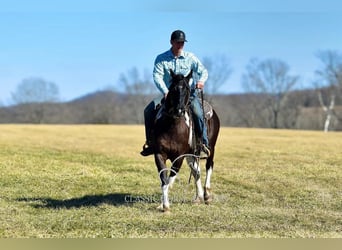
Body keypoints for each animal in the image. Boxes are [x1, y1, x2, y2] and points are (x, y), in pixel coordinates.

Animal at [152, 69, 220, 212]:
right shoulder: (159, 154)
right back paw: (198, 197)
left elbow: (170, 178)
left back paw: (207, 195)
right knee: (196, 171)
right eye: (172, 88)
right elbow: (164, 180)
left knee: (209, 165)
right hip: (192, 154)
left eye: (188, 89)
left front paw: (165, 205)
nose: (179, 111)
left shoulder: (180, 157)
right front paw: (163, 205)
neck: (172, 126)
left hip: (211, 148)